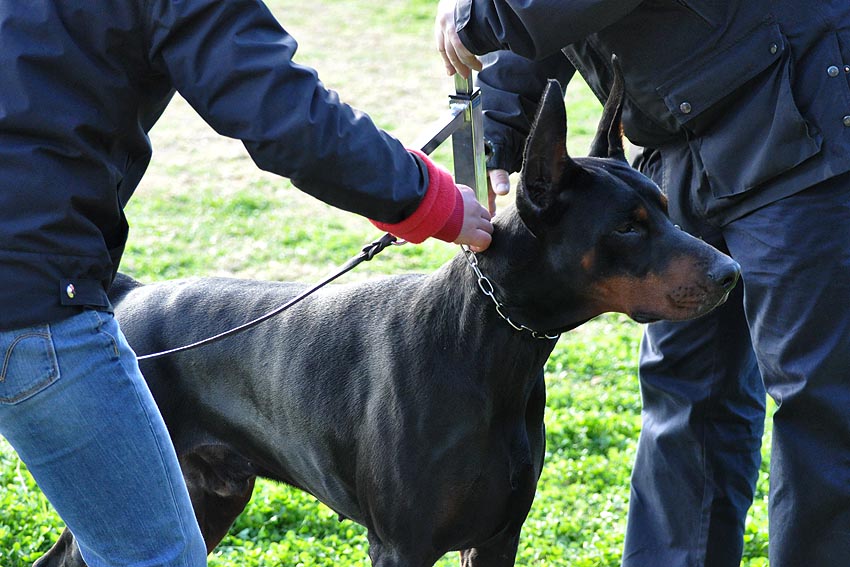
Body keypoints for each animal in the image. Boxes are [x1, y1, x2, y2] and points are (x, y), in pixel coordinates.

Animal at [36, 67, 736, 567]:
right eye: (627, 226)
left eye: (664, 206)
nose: (730, 274)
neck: (486, 346)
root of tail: (129, 293)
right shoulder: (402, 546)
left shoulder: (498, 535)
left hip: (209, 495)